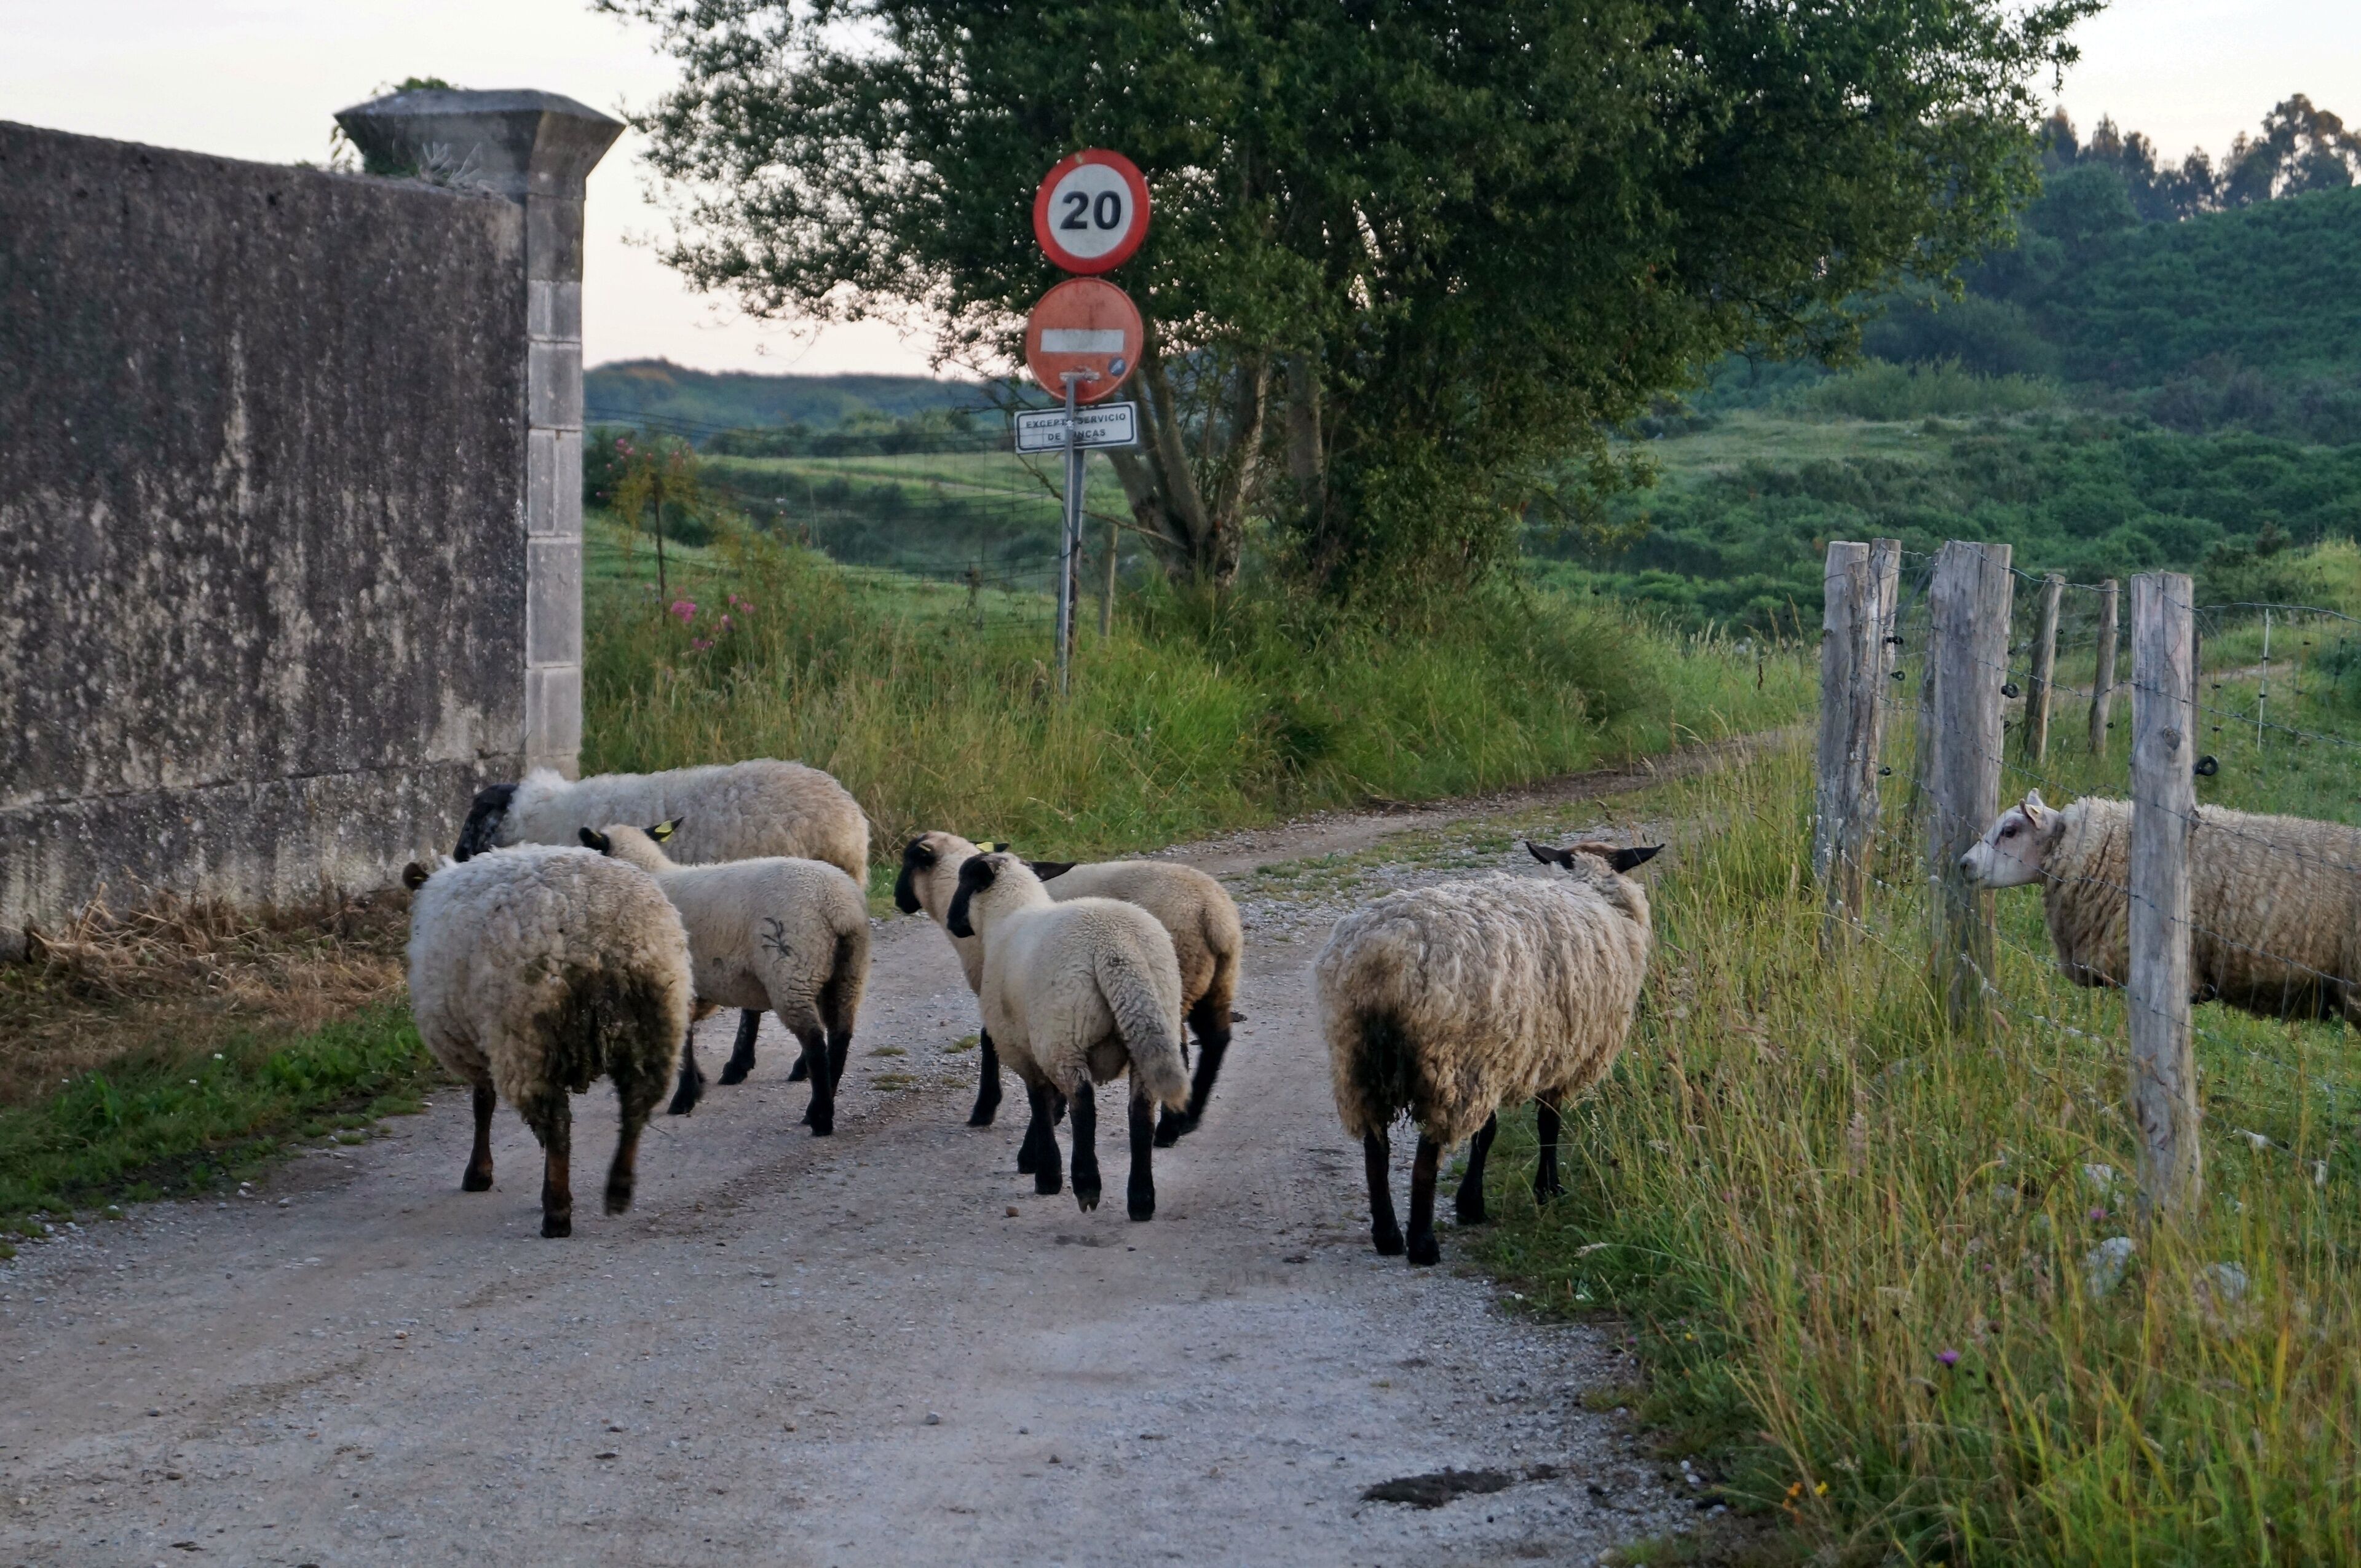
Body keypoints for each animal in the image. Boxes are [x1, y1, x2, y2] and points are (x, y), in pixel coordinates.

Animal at [402, 847, 693, 1239]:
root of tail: (601, 940)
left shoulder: (480, 1042)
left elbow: (483, 1104)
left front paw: (479, 1173)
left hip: (526, 1036)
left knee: (556, 1126)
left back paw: (556, 1212)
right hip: (658, 1021)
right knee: (636, 1106)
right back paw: (618, 1188)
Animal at [577, 820, 871, 1133]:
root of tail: (839, 906)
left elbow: (684, 1040)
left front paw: (685, 1097)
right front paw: (696, 1085)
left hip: (792, 972)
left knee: (816, 1042)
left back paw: (821, 1118)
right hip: (849, 971)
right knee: (841, 1035)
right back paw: (819, 1106)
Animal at [895, 831, 1243, 1148]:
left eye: (908, 860)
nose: (899, 900)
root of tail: (1214, 913)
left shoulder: (1001, 988)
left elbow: (989, 1041)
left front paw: (986, 1109)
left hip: (1174, 981)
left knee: (1178, 1049)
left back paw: (1169, 1130)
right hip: (1215, 980)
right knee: (1215, 1039)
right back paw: (1190, 1118)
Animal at [944, 852, 1190, 1219]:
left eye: (964, 881)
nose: (952, 922)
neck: (1007, 915)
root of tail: (1117, 947)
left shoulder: (1023, 1048)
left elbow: (1041, 1104)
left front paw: (1045, 1172)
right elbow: (1049, 1104)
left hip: (1065, 1032)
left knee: (1084, 1104)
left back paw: (1087, 1185)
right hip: (1151, 1023)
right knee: (1141, 1112)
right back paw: (1141, 1200)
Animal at [1316, 841, 1661, 1266]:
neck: (1589, 888)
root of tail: (1385, 958)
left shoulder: (1499, 1055)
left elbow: (1489, 1132)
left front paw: (1474, 1203)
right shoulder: (1552, 1056)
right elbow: (1547, 1123)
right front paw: (1545, 1190)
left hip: (1357, 1059)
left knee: (1375, 1148)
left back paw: (1388, 1236)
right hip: (1449, 1063)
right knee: (1426, 1157)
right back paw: (1422, 1244)